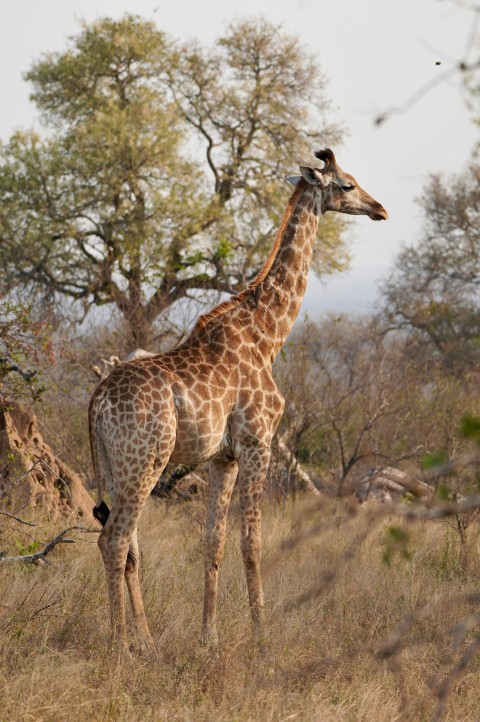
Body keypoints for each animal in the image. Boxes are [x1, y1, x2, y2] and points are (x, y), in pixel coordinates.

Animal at [89, 146, 386, 648]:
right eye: (347, 184)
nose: (379, 209)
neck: (268, 335)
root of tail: (95, 403)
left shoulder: (221, 457)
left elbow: (214, 541)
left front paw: (208, 636)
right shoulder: (257, 440)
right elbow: (252, 540)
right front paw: (261, 635)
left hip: (114, 465)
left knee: (127, 545)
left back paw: (145, 641)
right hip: (145, 458)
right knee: (114, 540)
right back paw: (121, 646)